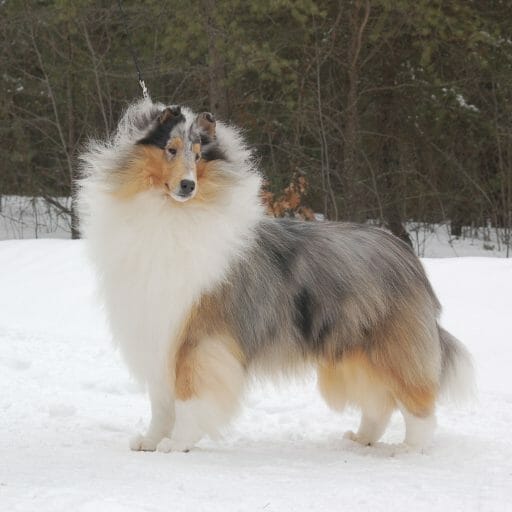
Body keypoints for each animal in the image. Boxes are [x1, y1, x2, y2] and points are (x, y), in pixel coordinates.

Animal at [77, 99, 476, 452]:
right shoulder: (159, 335)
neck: (171, 216)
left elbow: (188, 399)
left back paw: (408, 449)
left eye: (199, 154)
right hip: (350, 352)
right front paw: (151, 441)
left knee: (418, 405)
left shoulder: (198, 338)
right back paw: (362, 439)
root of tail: (406, 255)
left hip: (389, 348)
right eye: (171, 150)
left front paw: (177, 444)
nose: (187, 186)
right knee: (378, 402)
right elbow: (161, 403)